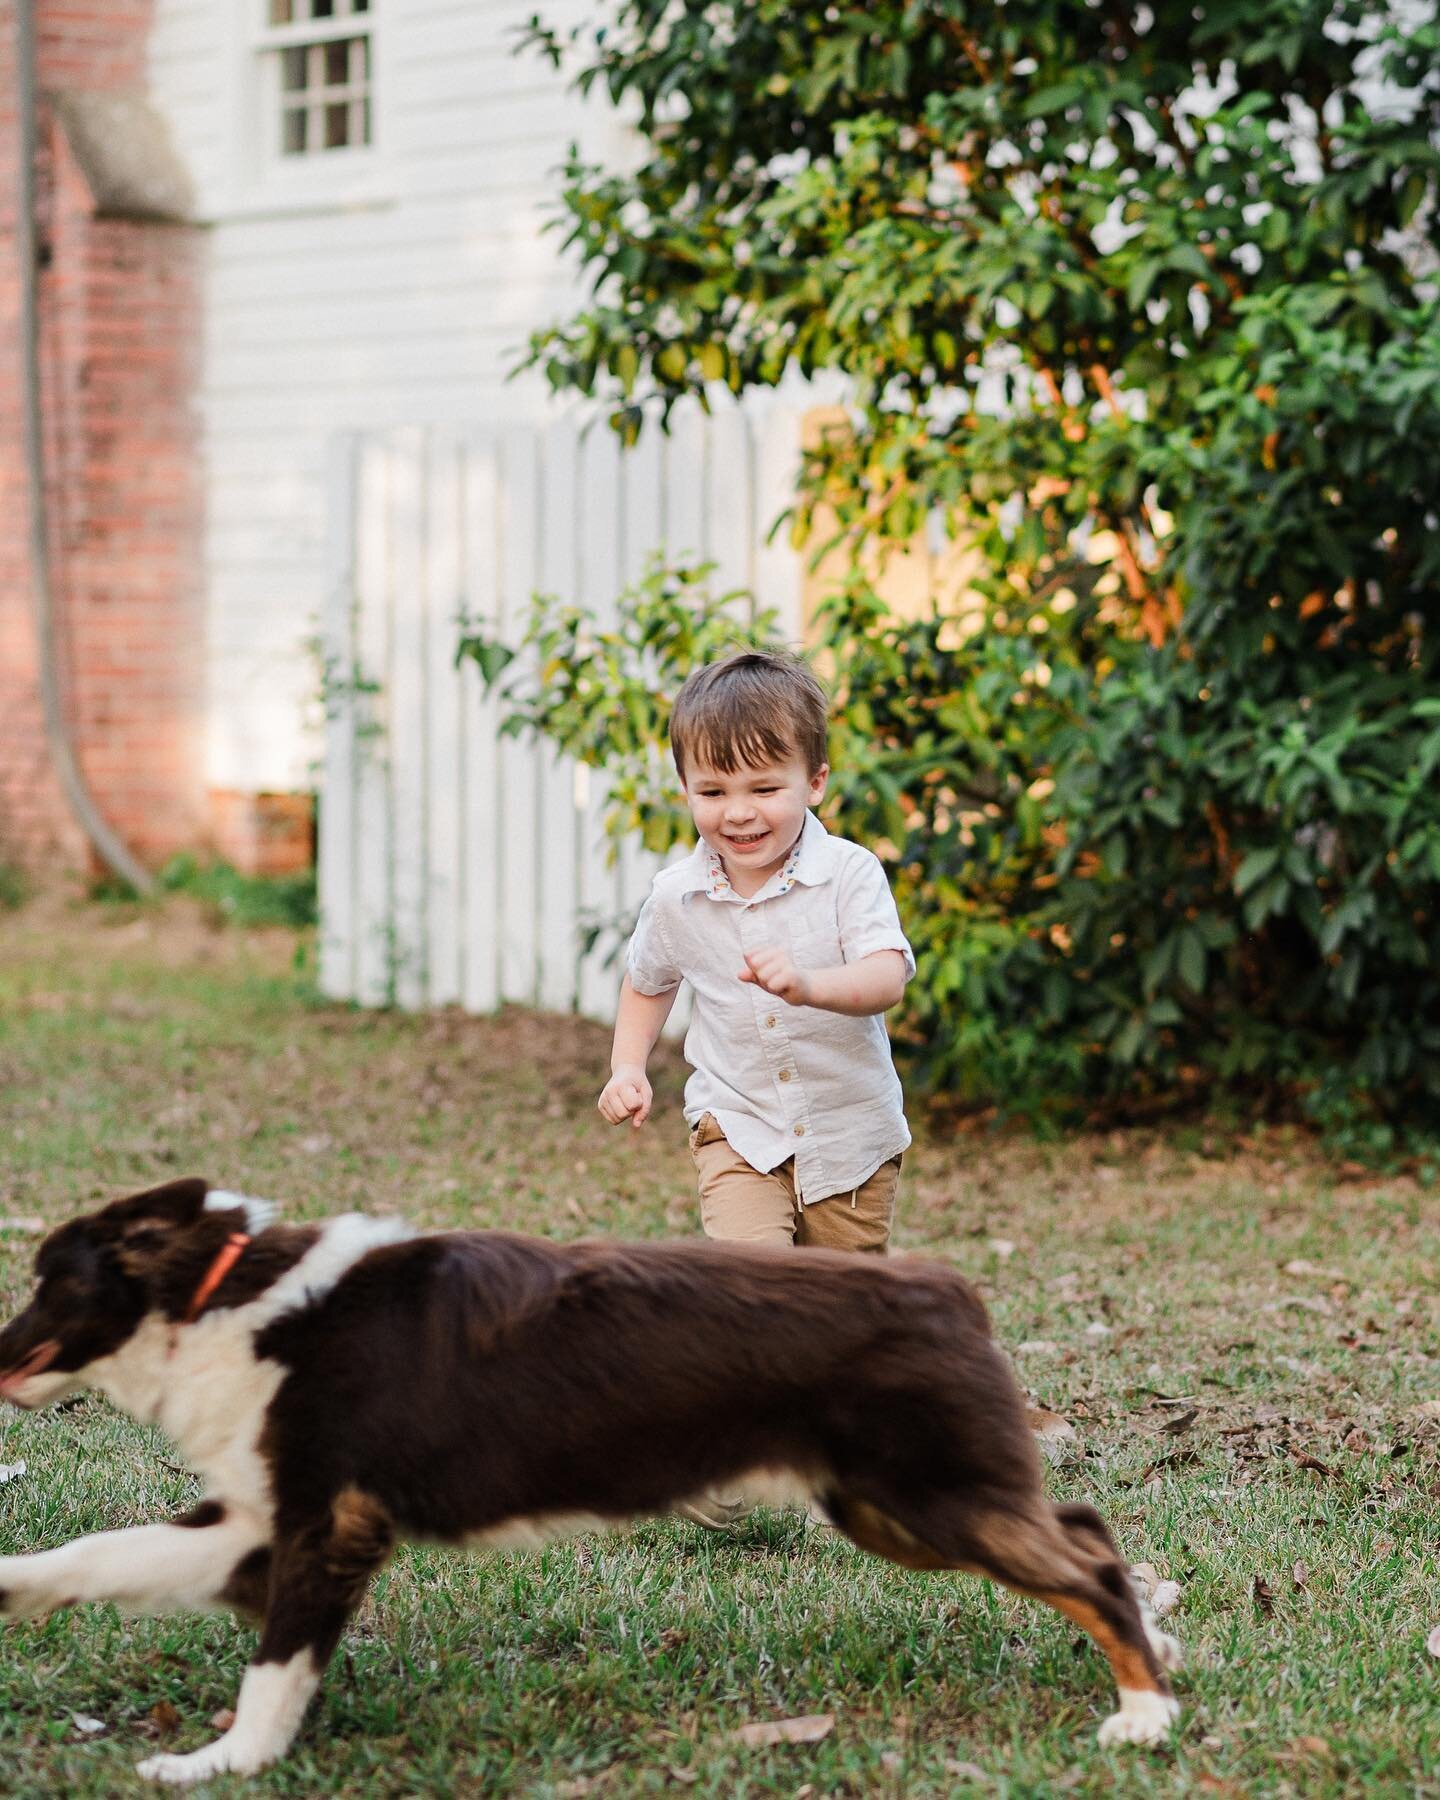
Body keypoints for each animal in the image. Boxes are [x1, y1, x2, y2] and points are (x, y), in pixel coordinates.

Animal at [0, 1173, 1180, 1778]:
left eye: (48, 1281)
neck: (226, 1298)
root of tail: (954, 1292)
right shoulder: (255, 1519)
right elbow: (100, 1553)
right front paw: (11, 1588)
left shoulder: (327, 1525)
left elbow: (275, 1668)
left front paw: (226, 1764)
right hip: (891, 1507)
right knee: (1085, 1526)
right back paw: (1158, 1652)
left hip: (927, 1499)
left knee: (1086, 1564)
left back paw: (1146, 1713)